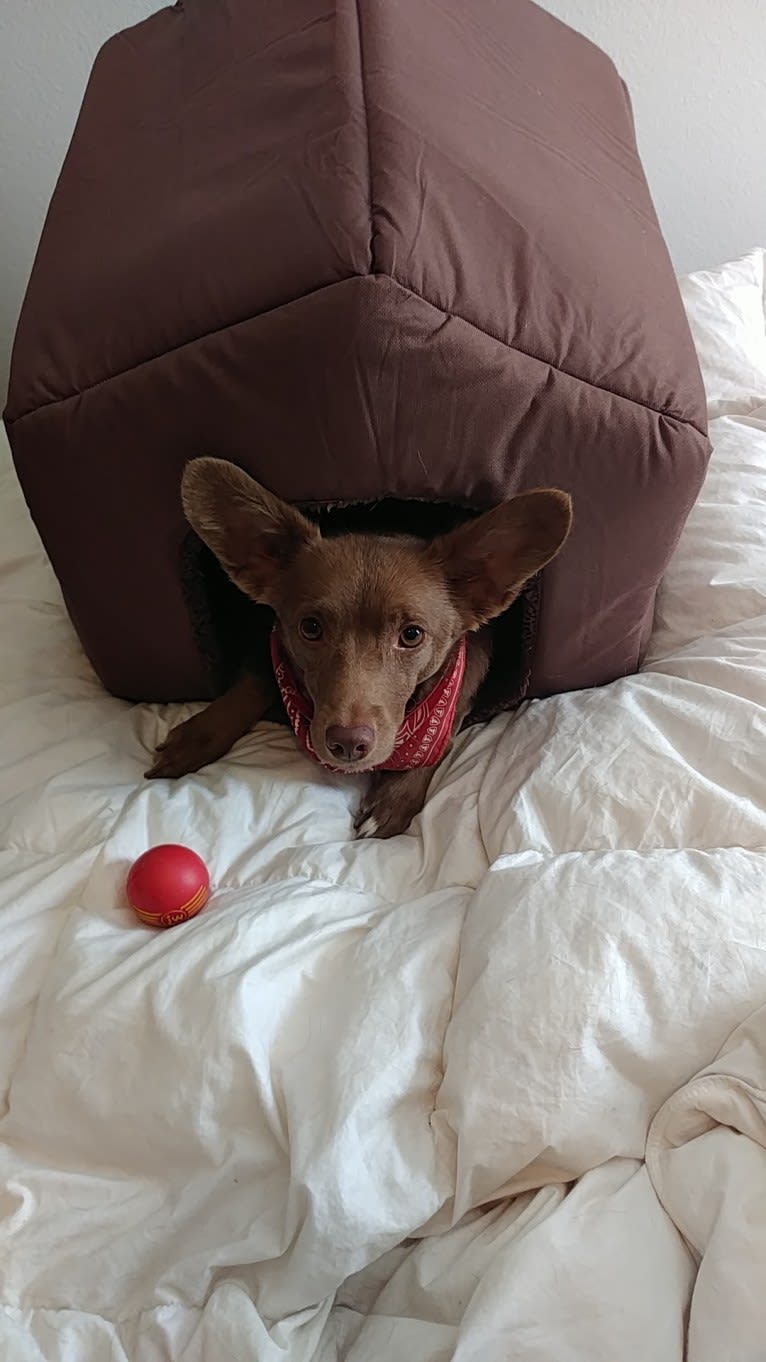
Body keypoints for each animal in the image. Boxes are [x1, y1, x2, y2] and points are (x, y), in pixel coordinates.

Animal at [145, 463, 569, 833]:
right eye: (310, 628)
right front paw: (196, 737)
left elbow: (443, 733)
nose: (348, 744)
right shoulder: (272, 642)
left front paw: (394, 799)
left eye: (412, 635)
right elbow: (254, 679)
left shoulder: (465, 678)